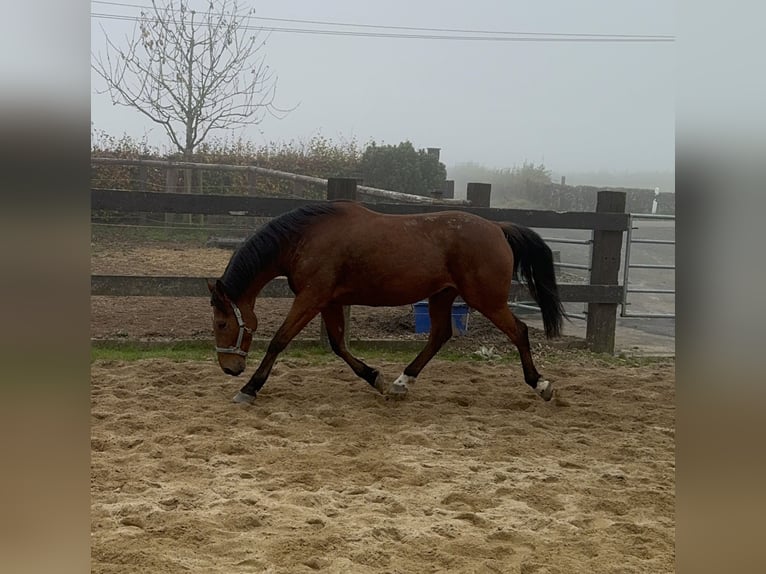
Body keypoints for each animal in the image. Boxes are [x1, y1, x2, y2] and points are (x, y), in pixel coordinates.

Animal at [207, 201, 568, 404]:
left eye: (222, 323)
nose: (229, 368)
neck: (306, 238)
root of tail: (497, 227)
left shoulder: (312, 297)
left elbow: (279, 340)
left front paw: (250, 389)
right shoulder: (328, 301)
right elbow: (338, 345)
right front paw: (376, 379)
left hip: (487, 299)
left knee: (519, 331)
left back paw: (541, 385)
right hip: (442, 295)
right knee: (439, 336)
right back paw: (401, 383)